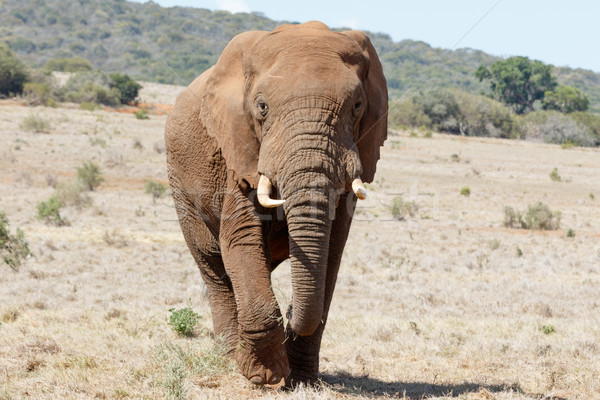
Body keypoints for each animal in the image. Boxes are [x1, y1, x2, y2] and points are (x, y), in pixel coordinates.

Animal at [165, 20, 390, 386]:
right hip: (180, 184)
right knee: (214, 267)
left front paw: (301, 380)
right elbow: (241, 236)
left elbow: (332, 250)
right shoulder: (237, 148)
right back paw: (229, 358)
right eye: (262, 107)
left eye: (357, 106)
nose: (291, 311)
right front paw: (265, 375)